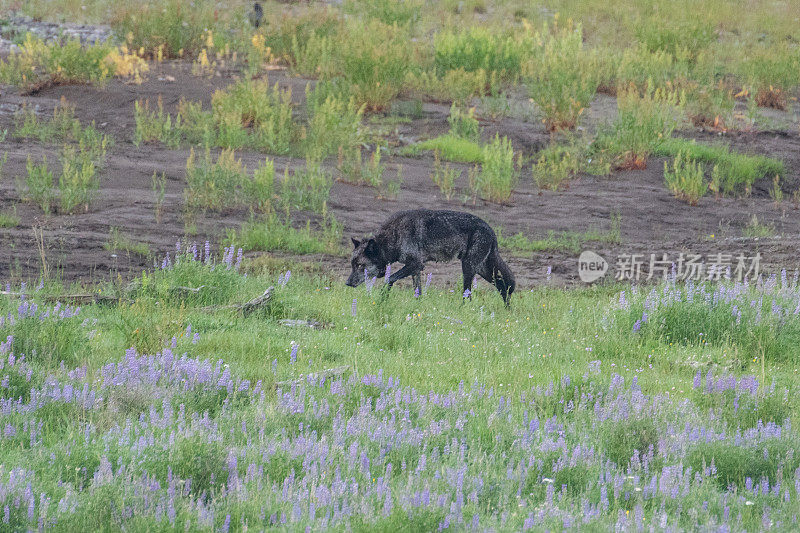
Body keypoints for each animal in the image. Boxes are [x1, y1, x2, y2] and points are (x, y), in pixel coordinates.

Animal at [346, 210, 516, 306]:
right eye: (352, 265)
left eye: (360, 265)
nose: (347, 283)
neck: (394, 236)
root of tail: (491, 231)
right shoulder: (415, 269)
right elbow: (418, 292)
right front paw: (417, 309)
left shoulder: (416, 264)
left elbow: (389, 279)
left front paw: (382, 298)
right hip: (482, 270)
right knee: (503, 286)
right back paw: (506, 311)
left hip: (468, 268)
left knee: (468, 294)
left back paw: (463, 310)